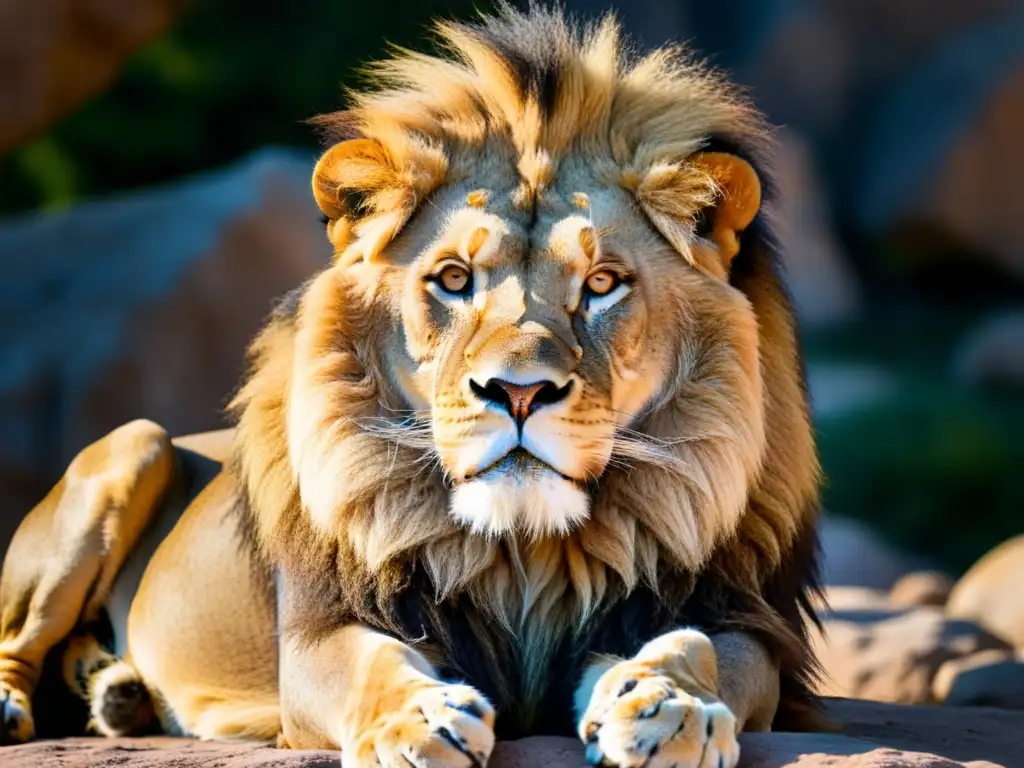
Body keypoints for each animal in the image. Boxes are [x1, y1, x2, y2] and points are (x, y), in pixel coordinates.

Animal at [0, 7, 819, 768]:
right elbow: (377, 664)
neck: (523, 552)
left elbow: (696, 646)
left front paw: (668, 707)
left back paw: (118, 692)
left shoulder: (742, 619)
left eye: (602, 284)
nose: (518, 393)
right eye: (453, 280)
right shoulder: (323, 633)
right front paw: (416, 723)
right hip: (128, 447)